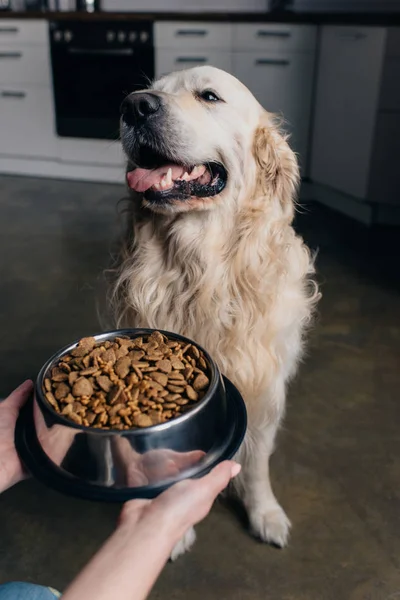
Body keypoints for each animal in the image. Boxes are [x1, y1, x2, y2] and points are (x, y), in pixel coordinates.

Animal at [111, 65, 318, 556]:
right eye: (150, 90)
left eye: (208, 96)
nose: (134, 106)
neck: (202, 270)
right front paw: (171, 525)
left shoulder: (264, 386)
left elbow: (257, 462)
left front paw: (264, 513)